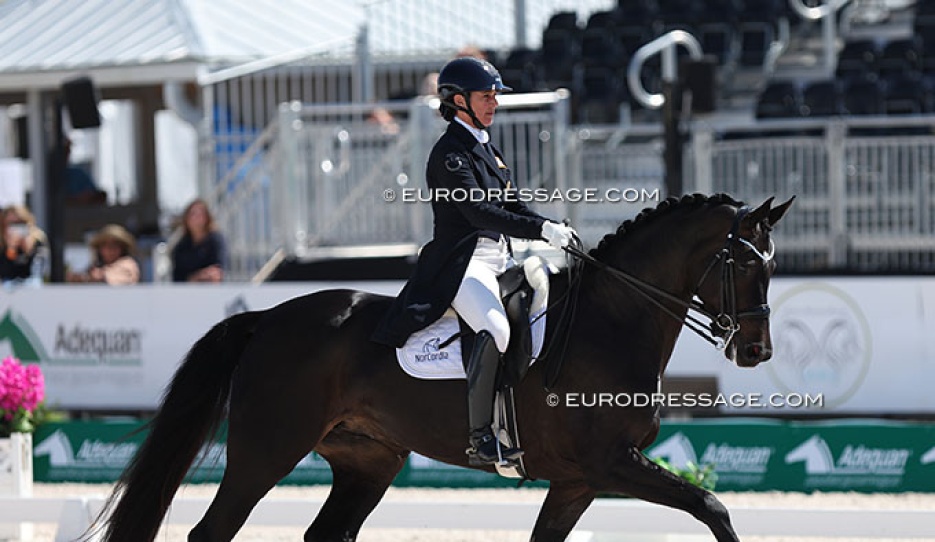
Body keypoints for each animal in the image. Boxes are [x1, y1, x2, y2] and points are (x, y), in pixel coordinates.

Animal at [91, 193, 793, 542]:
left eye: (773, 264)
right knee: (211, 533)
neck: (611, 321)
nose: (755, 352)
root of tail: (267, 317)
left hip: (369, 461)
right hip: (266, 451)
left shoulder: (578, 481)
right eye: (743, 263)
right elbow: (713, 508)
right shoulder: (609, 464)